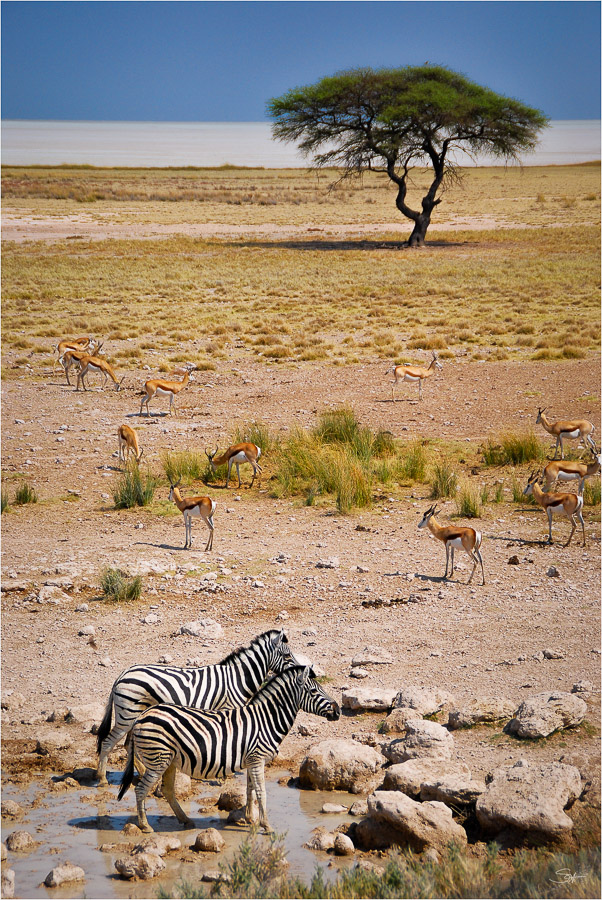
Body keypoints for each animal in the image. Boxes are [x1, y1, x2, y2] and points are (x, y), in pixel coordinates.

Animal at [94, 628, 298, 784]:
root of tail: (121, 675)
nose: (302, 670)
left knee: (128, 744)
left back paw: (142, 774)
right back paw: (102, 778)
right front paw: (224, 776)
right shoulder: (227, 710)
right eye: (287, 655)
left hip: (136, 714)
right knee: (108, 742)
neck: (237, 679)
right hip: (127, 714)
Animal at [119, 664, 340, 832]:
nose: (338, 711)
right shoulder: (258, 758)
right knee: (141, 789)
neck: (265, 720)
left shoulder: (252, 759)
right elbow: (261, 792)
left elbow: (251, 789)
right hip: (158, 759)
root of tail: (142, 715)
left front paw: (250, 819)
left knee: (167, 790)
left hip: (170, 759)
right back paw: (145, 826)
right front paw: (267, 826)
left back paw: (185, 820)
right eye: (314, 691)